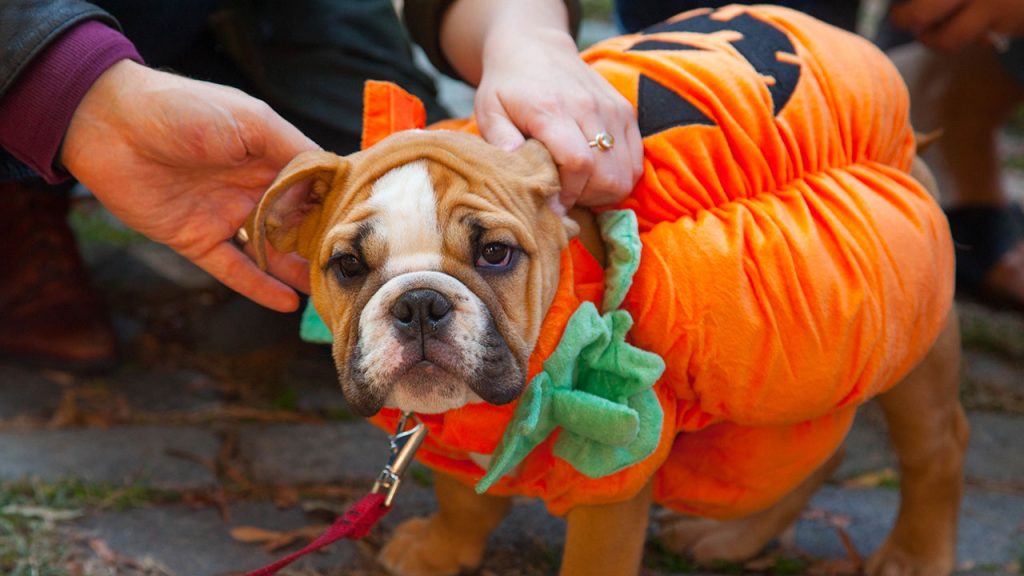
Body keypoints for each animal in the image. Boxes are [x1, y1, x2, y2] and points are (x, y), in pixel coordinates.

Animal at [249, 130, 966, 573]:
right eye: (347, 266)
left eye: (496, 254)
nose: (420, 301)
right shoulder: (447, 431)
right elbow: (464, 496)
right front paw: (441, 551)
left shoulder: (613, 473)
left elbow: (593, 557)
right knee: (812, 451)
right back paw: (732, 539)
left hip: (910, 350)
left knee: (936, 447)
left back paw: (914, 554)